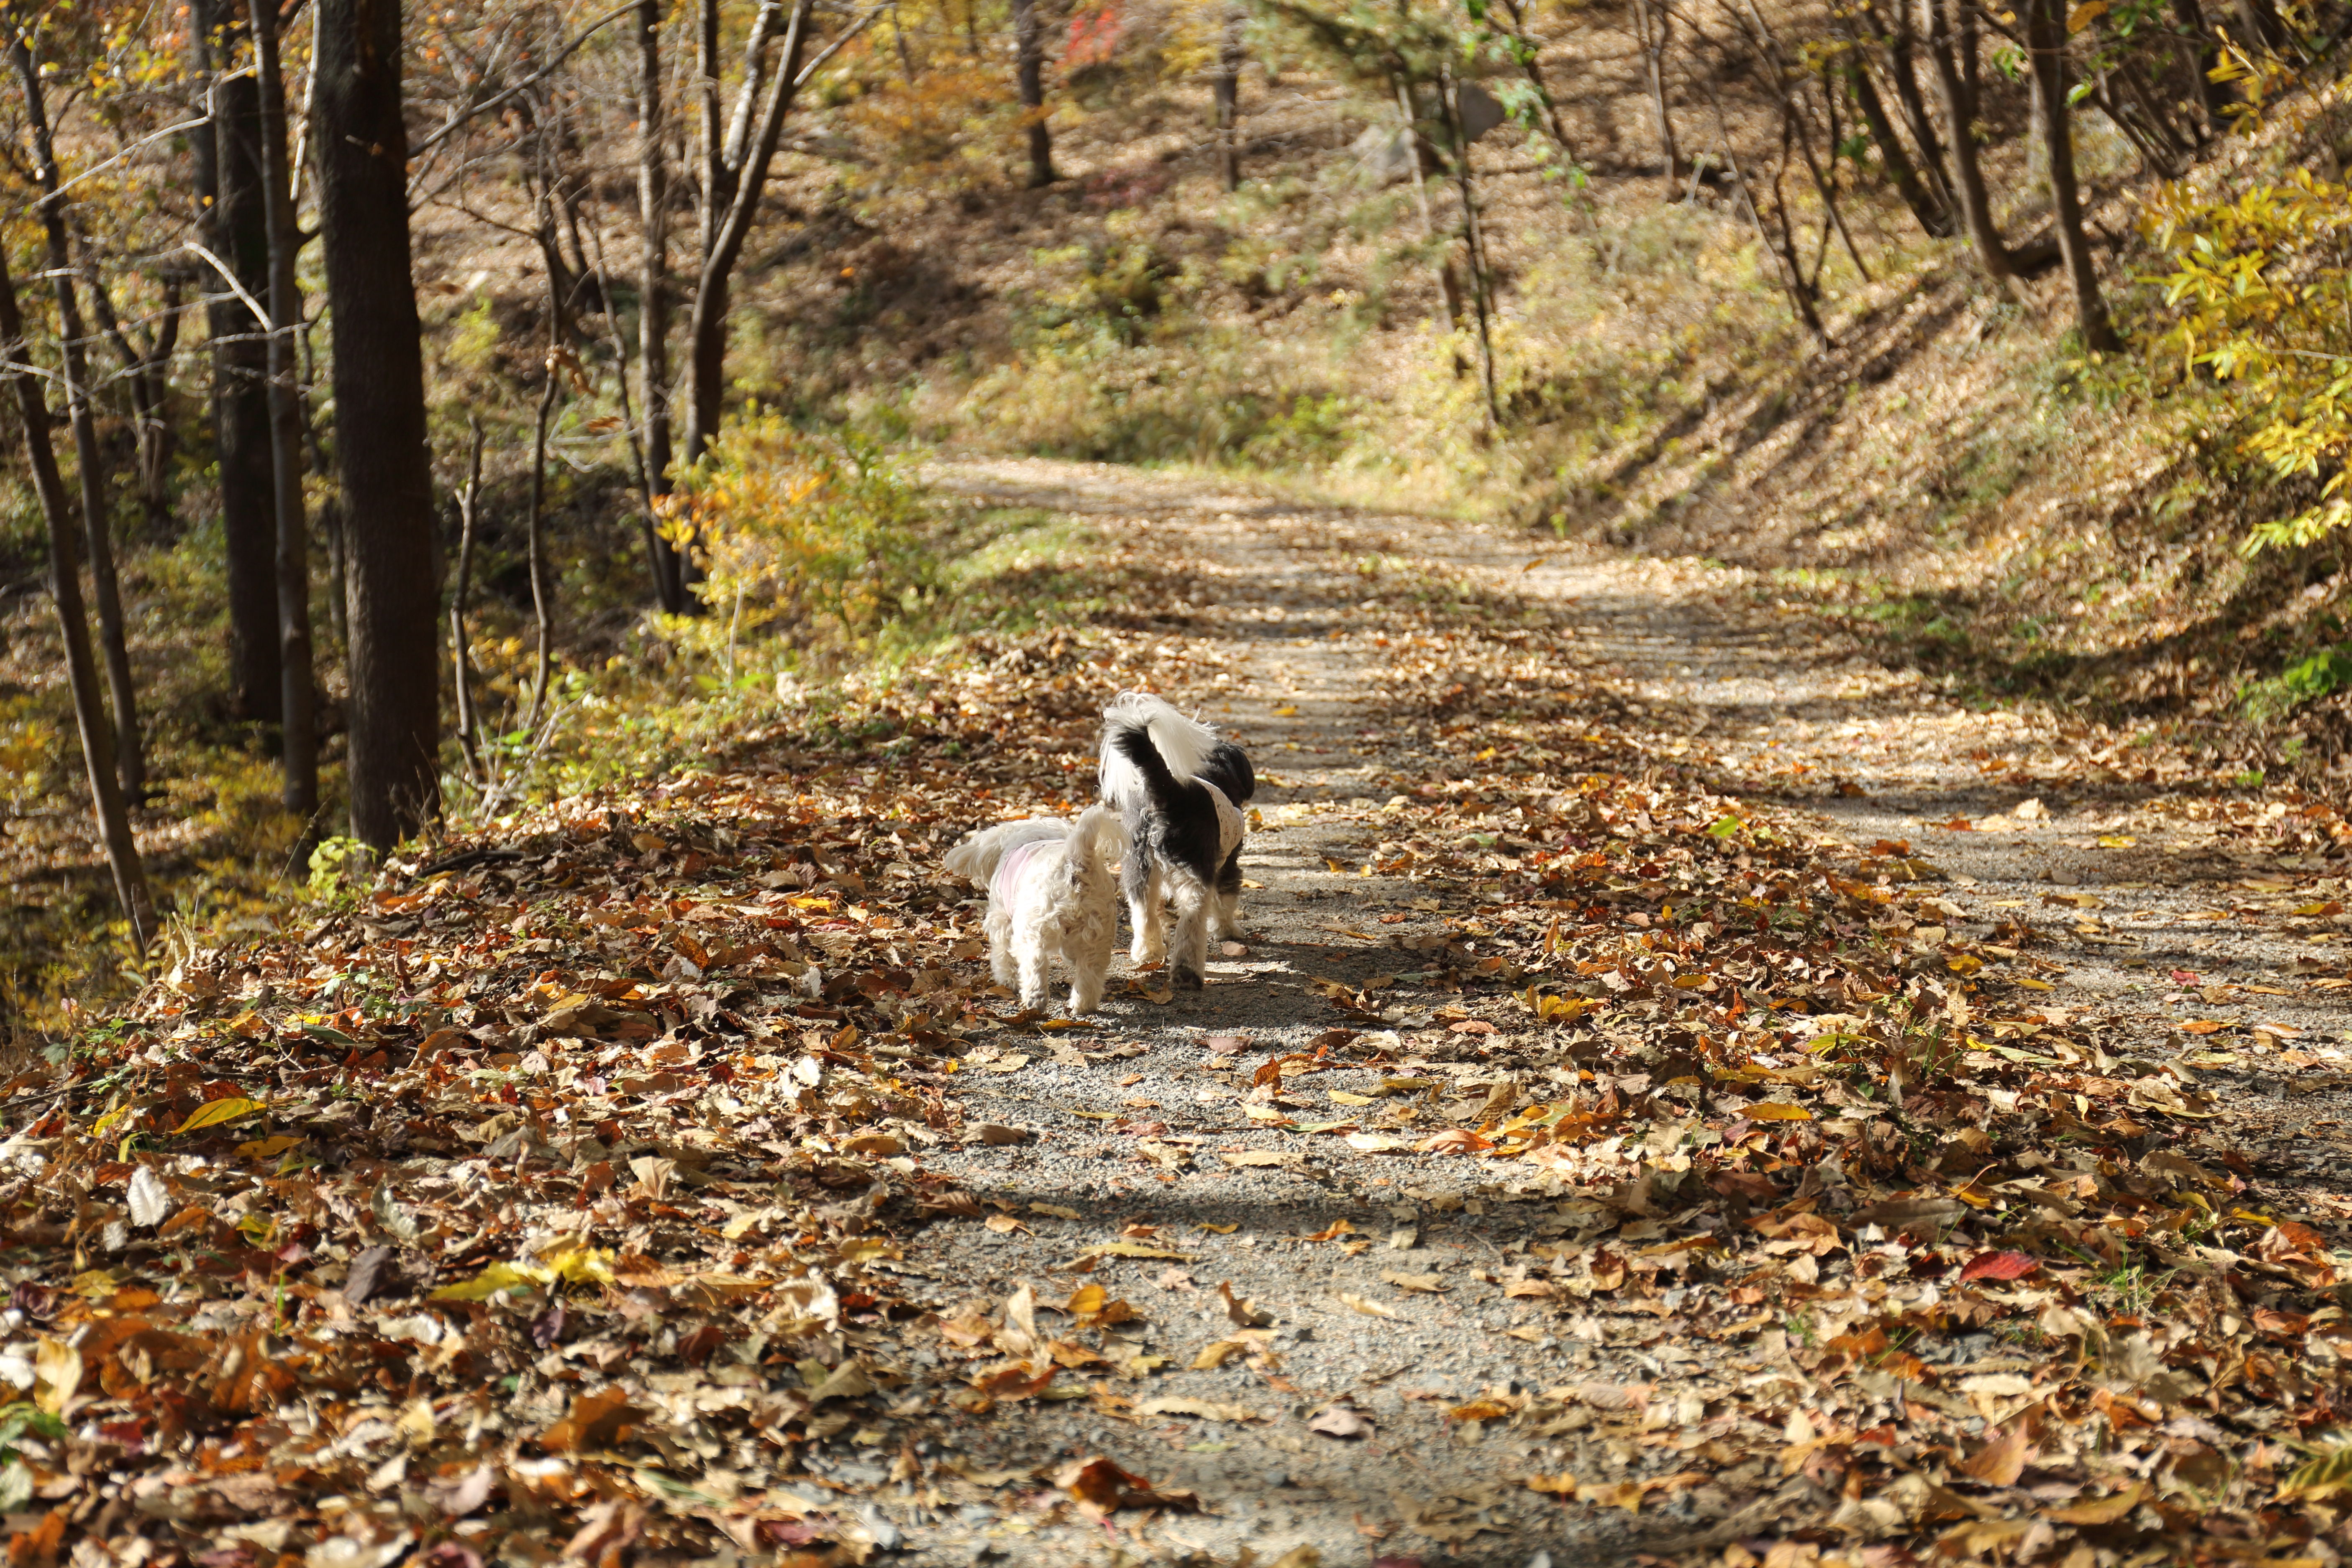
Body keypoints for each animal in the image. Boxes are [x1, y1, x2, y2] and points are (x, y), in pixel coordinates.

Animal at [978, 803, 1125, 1015]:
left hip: (1035, 924)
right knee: (1090, 972)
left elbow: (1002, 953)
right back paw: (1082, 1005)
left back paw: (1035, 999)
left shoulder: (1001, 917)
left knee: (1035, 960)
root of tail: (1074, 860)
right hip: (1099, 933)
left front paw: (1007, 979)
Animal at [1098, 692, 1253, 989]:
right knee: (1191, 922)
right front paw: (1228, 931)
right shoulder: (1228, 864)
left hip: (1140, 868)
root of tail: (1169, 794)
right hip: (1196, 873)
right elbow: (1226, 901)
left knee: (1144, 911)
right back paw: (1187, 973)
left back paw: (1149, 952)